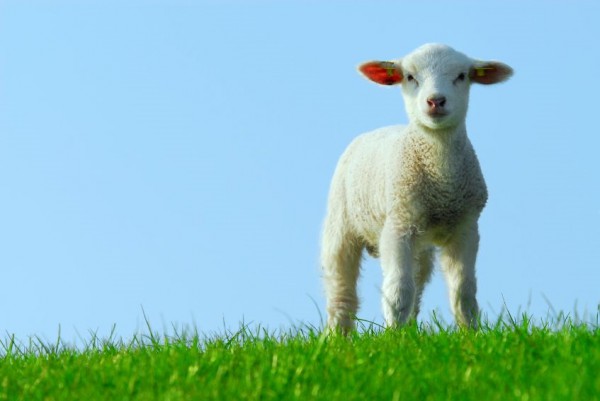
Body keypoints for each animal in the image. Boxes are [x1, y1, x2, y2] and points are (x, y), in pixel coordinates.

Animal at [322, 43, 512, 332]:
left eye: (462, 76)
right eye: (410, 77)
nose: (435, 101)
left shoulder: (467, 228)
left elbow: (463, 292)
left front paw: (470, 334)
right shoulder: (398, 226)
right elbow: (398, 292)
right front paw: (393, 337)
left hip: (421, 246)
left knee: (418, 282)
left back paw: (409, 329)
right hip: (341, 223)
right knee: (340, 288)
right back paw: (337, 335)